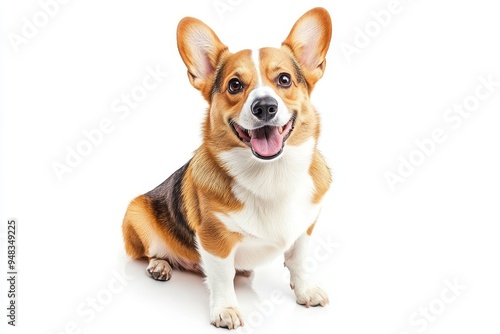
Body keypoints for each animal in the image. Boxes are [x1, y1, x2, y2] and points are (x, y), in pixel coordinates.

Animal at [121, 7, 332, 328]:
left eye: (284, 79)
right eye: (235, 84)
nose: (265, 107)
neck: (271, 175)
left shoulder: (305, 229)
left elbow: (298, 261)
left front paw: (305, 290)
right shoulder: (214, 238)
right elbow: (221, 276)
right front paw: (226, 309)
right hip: (135, 213)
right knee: (152, 253)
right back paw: (160, 265)